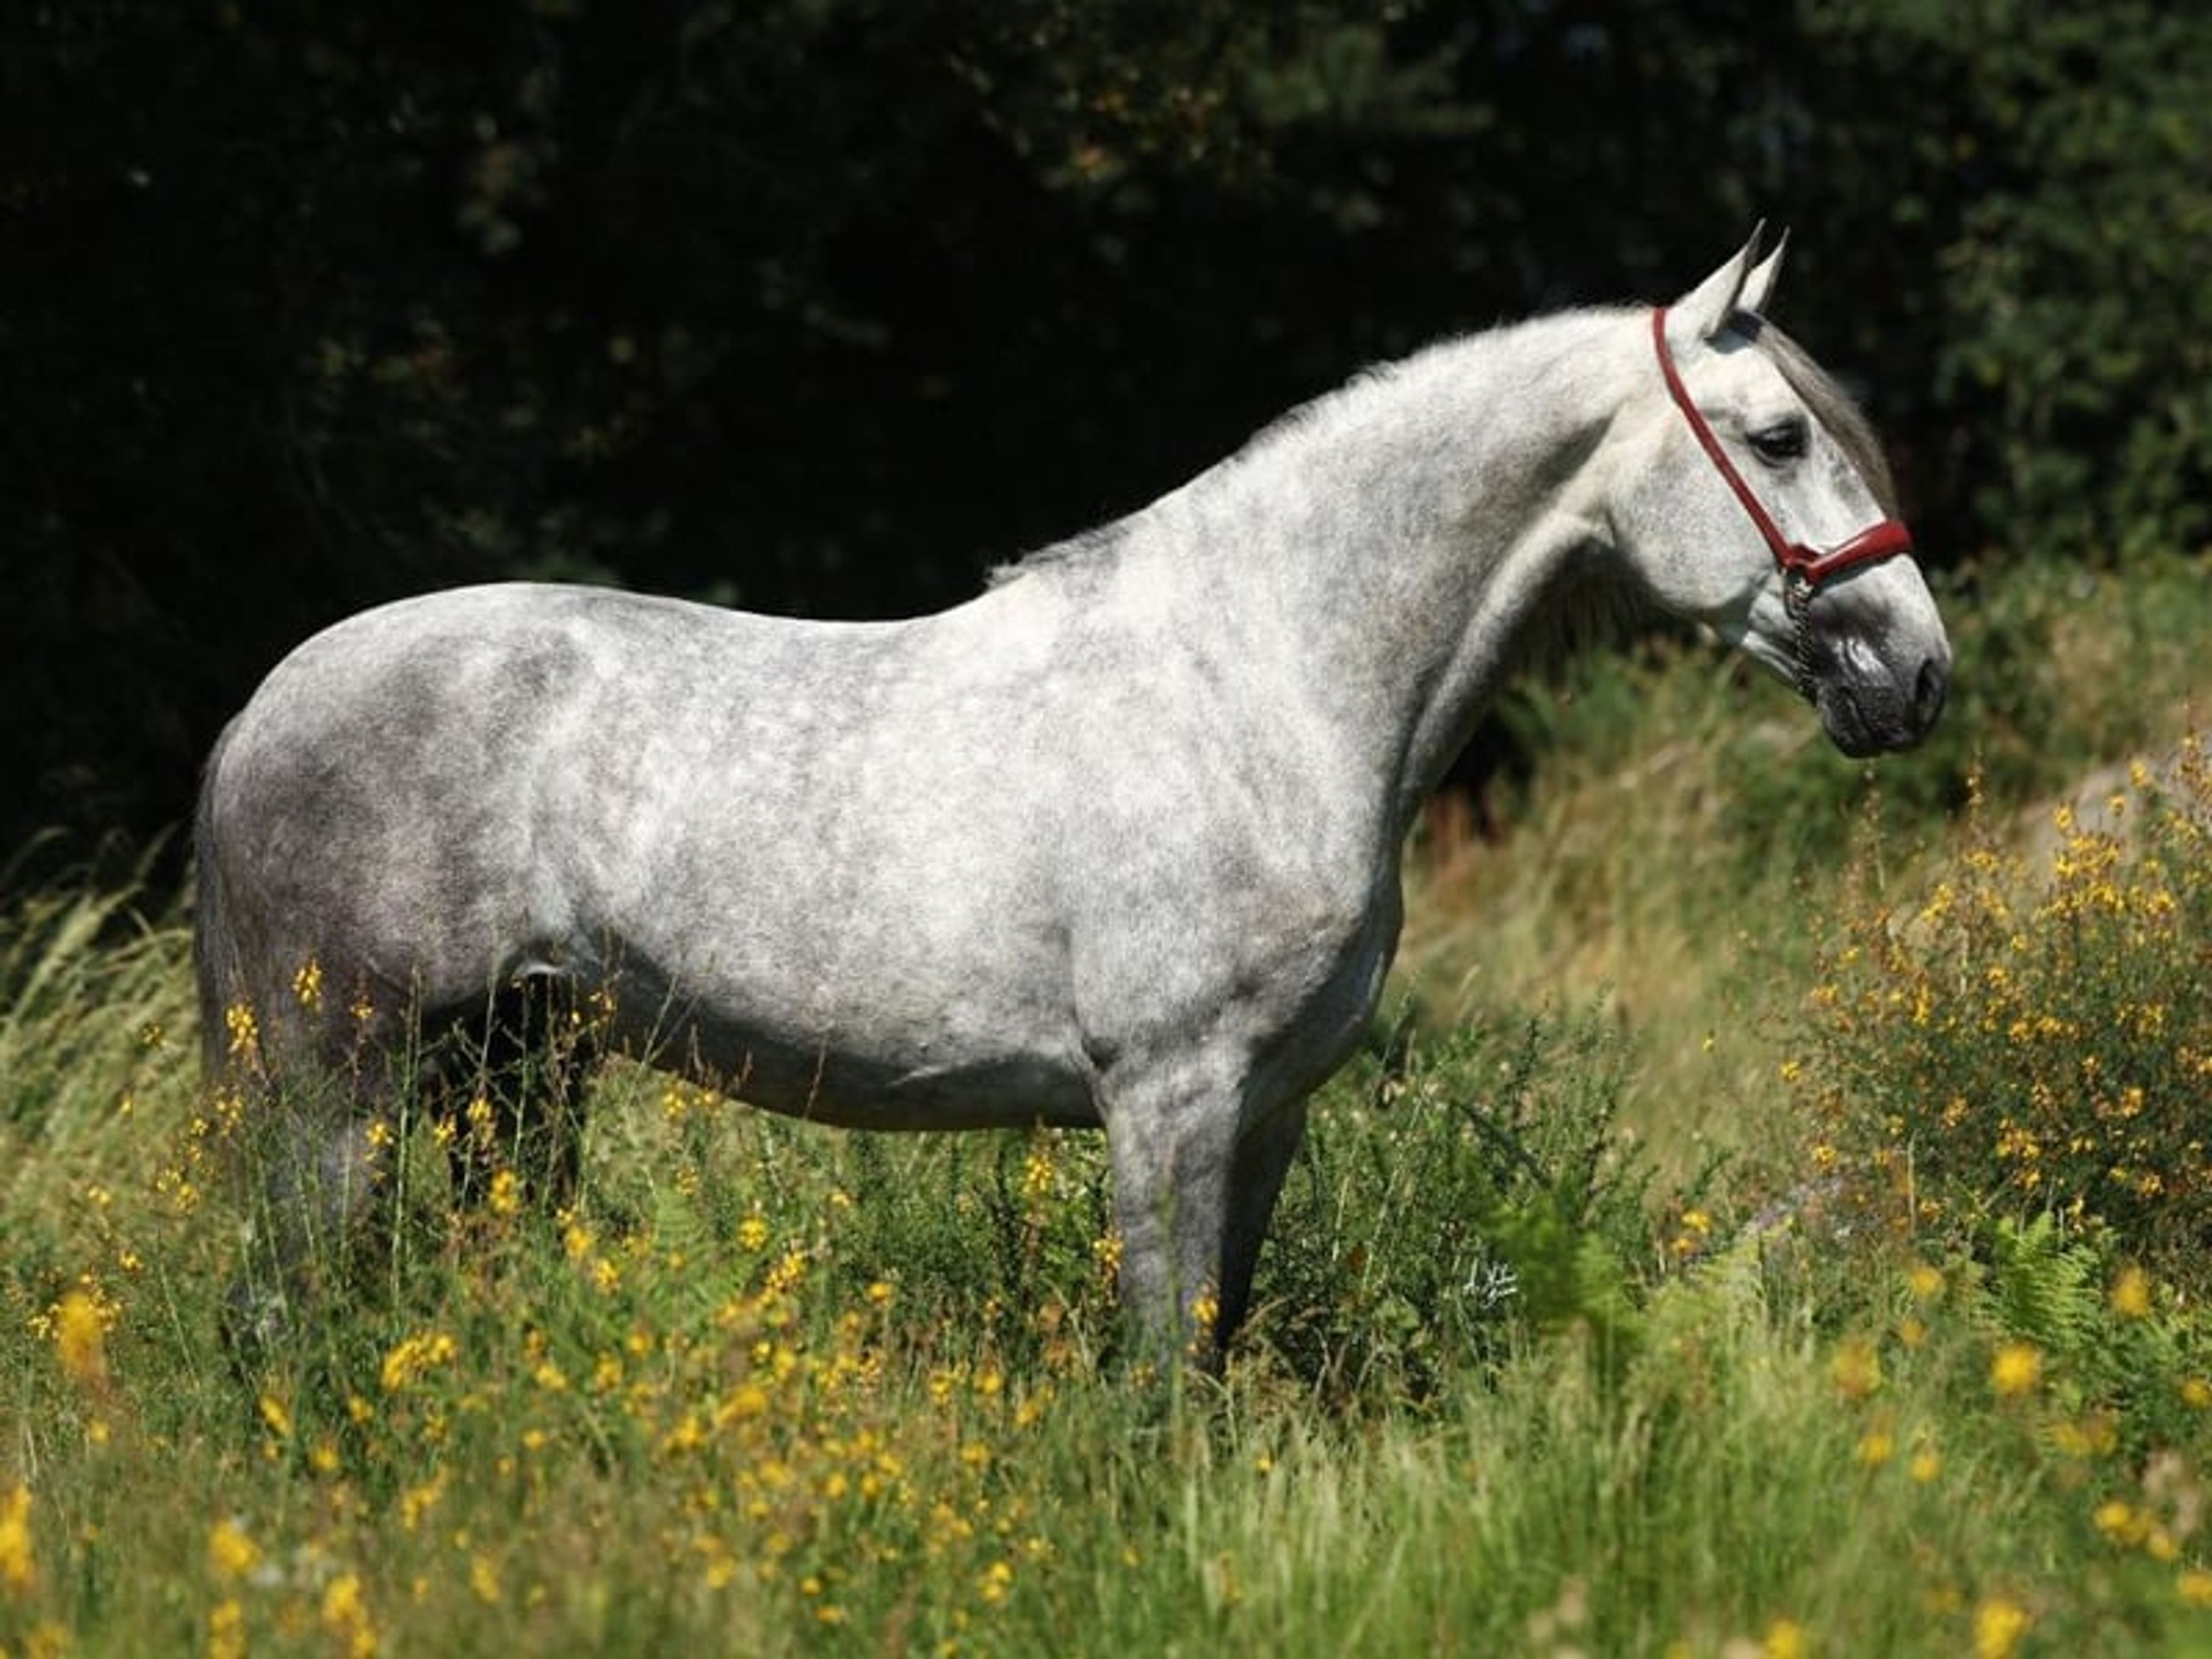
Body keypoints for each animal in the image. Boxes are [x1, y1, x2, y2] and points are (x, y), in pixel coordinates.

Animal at [194, 230, 1951, 1364]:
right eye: (1776, 437)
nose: (1915, 673)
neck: (1266, 681)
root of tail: (264, 706)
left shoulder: (1267, 1110)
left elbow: (1216, 1350)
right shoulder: (1168, 1100)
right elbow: (1161, 1375)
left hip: (509, 1072)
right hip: (338, 1083)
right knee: (291, 1312)